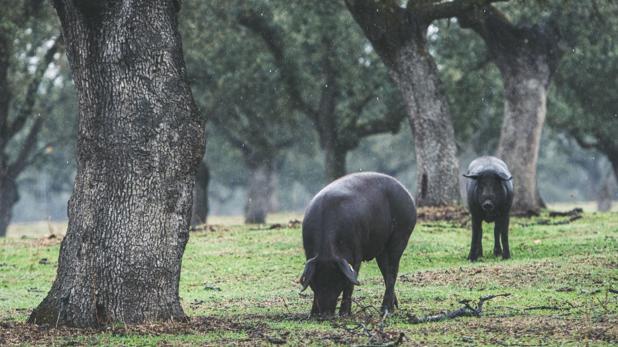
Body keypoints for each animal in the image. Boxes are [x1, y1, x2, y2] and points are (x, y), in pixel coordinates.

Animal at [298, 173, 414, 316]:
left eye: (337, 279)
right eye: (316, 281)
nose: (326, 313)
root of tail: (408, 195)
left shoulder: (356, 253)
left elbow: (351, 283)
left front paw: (344, 314)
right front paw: (313, 314)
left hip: (401, 235)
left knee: (393, 271)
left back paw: (386, 310)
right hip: (381, 250)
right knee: (386, 271)